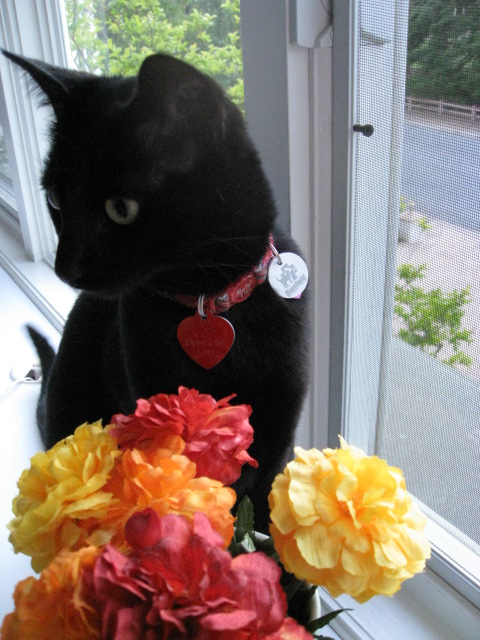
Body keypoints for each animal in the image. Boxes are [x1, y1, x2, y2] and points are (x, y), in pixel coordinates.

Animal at [3, 51, 310, 528]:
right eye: (54, 200)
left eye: (121, 209)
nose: (63, 267)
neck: (209, 303)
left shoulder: (278, 437)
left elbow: (264, 515)